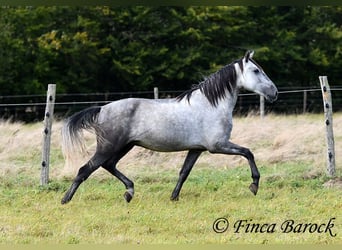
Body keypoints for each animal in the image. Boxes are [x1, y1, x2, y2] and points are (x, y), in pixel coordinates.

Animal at [60, 50, 278, 205]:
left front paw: (174, 197)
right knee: (86, 169)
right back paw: (65, 200)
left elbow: (184, 172)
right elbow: (248, 152)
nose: (274, 93)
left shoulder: (196, 149)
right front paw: (254, 185)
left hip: (125, 146)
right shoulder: (218, 146)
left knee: (108, 165)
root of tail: (102, 109)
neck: (211, 105)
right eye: (256, 71)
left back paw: (129, 192)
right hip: (109, 146)